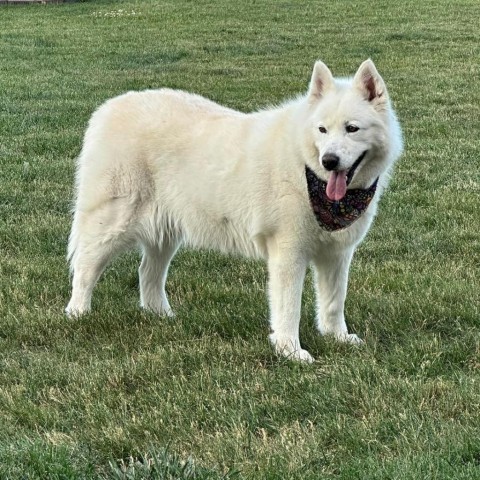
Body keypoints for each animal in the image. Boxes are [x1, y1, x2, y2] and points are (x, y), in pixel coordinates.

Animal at [66, 59, 402, 360]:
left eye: (352, 129)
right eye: (322, 130)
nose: (329, 161)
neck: (305, 170)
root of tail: (108, 107)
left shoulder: (337, 254)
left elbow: (333, 302)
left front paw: (337, 338)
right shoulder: (289, 253)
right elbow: (289, 308)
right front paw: (291, 351)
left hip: (165, 233)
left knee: (147, 273)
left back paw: (162, 316)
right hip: (112, 224)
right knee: (84, 268)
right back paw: (77, 313)